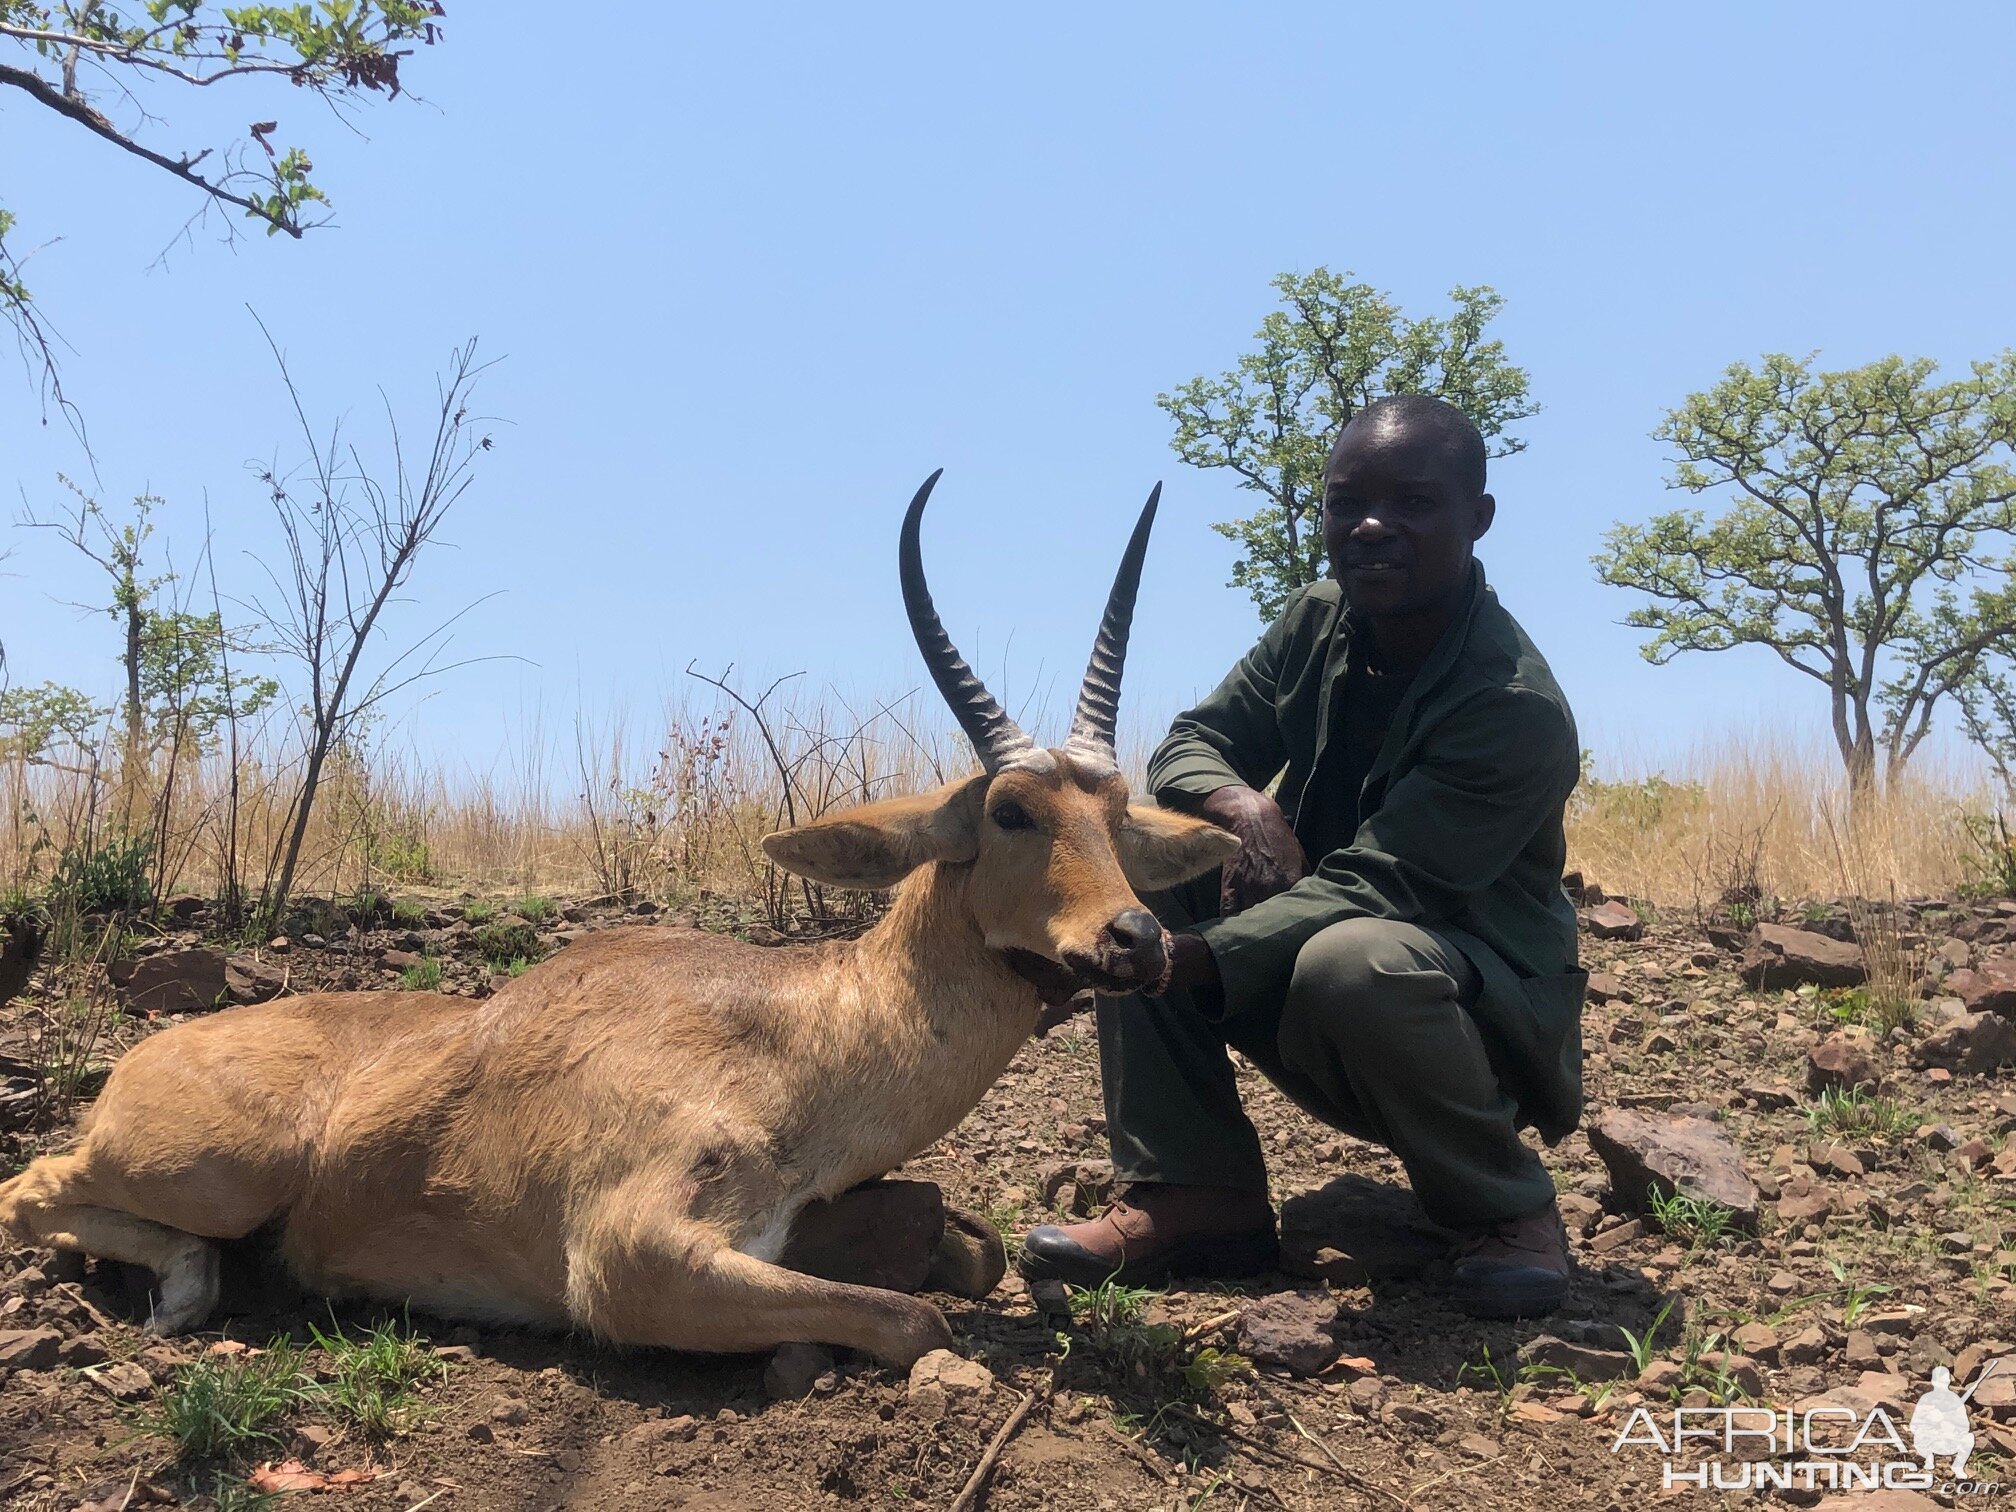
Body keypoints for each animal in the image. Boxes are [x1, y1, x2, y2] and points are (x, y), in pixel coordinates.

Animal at [0, 473, 1233, 1370]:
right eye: (1012, 810)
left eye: (1117, 814)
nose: (1135, 941)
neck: (795, 1035)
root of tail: (146, 1056)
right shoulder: (631, 1259)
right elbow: (918, 1317)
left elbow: (969, 1259)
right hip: (222, 1169)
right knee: (32, 1188)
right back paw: (186, 1294)